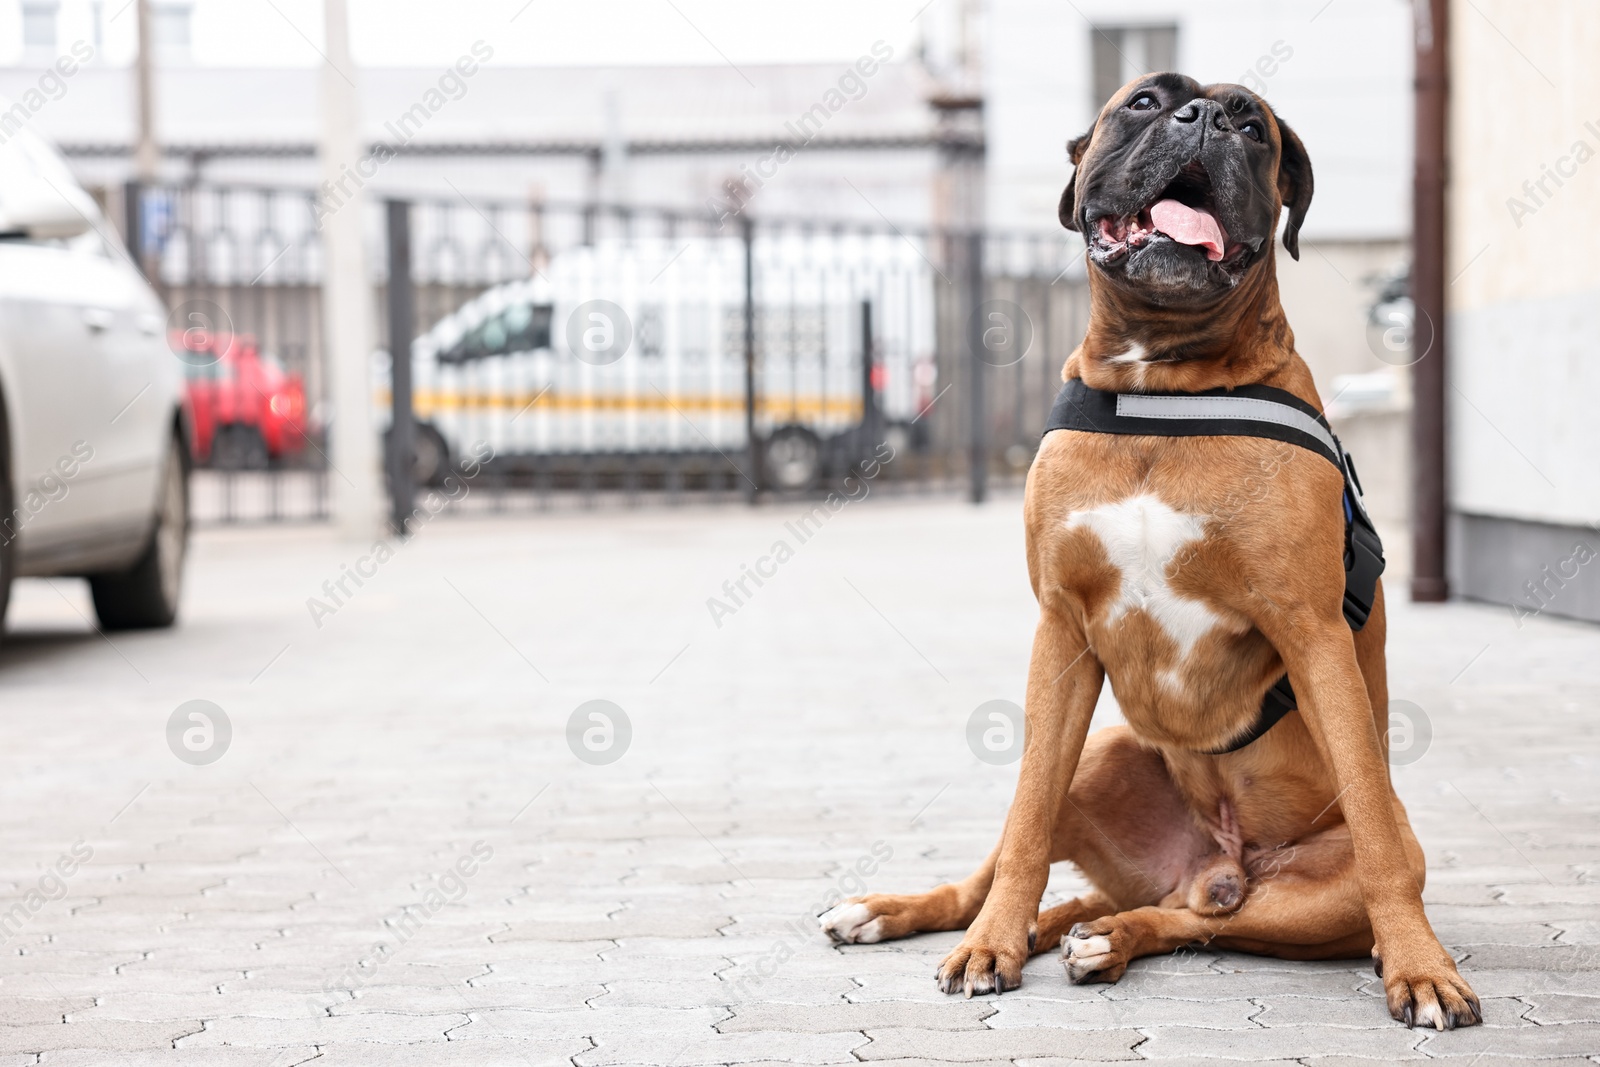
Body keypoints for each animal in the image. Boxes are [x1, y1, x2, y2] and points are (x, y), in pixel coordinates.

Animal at [825, 70, 1484, 1030]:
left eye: (1254, 127)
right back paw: (925, 914)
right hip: (1099, 755)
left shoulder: (1315, 634)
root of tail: (1211, 860)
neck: (1162, 383)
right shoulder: (1061, 632)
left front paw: (1421, 966)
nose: (1203, 117)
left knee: (1198, 918)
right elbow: (1023, 821)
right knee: (1039, 865)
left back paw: (1106, 937)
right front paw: (991, 943)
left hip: (1293, 890)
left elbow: (1372, 822)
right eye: (1143, 102)